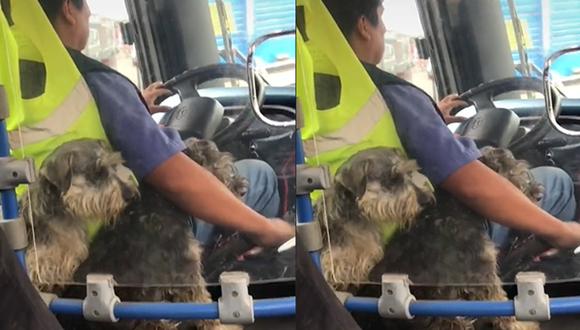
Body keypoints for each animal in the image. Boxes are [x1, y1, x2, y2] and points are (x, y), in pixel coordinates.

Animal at [318, 147, 540, 330]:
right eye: (514, 168)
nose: (538, 192)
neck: (452, 209)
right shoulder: (482, 273)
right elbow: (503, 307)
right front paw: (523, 325)